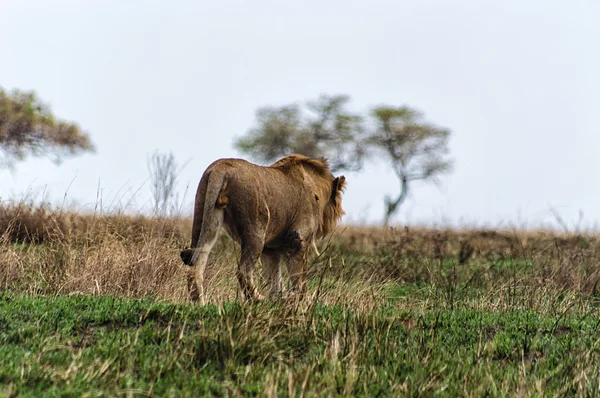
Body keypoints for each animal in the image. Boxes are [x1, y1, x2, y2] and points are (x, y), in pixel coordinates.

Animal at [178, 154, 346, 304]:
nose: (340, 212)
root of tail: (220, 167)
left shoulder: (270, 249)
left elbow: (275, 281)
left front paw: (278, 301)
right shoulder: (298, 240)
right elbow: (298, 279)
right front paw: (298, 301)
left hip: (205, 217)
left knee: (195, 266)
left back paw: (200, 304)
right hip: (256, 230)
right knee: (243, 271)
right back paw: (258, 299)